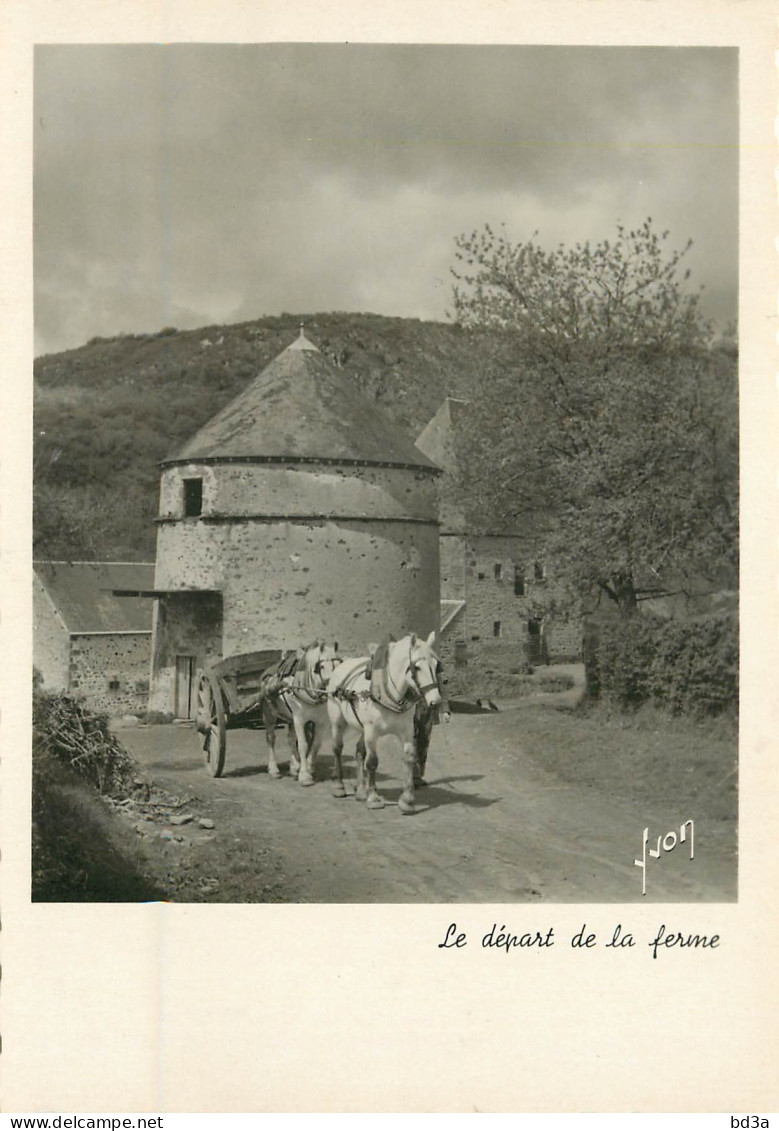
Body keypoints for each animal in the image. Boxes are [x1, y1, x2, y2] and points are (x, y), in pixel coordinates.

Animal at [257, 637, 339, 787]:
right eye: (321, 667)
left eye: (337, 664)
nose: (333, 689)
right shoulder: (299, 719)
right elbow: (303, 745)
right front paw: (305, 776)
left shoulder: (321, 721)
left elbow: (315, 744)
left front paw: (309, 768)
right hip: (269, 714)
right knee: (271, 738)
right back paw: (274, 770)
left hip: (290, 718)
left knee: (290, 738)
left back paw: (294, 767)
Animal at [325, 637, 440, 814]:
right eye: (417, 667)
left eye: (436, 665)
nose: (436, 701)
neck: (389, 694)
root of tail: (342, 664)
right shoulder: (372, 732)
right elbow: (372, 762)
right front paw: (374, 798)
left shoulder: (407, 731)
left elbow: (409, 758)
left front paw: (407, 800)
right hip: (338, 722)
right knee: (337, 749)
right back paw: (339, 786)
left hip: (362, 728)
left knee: (359, 751)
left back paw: (361, 790)